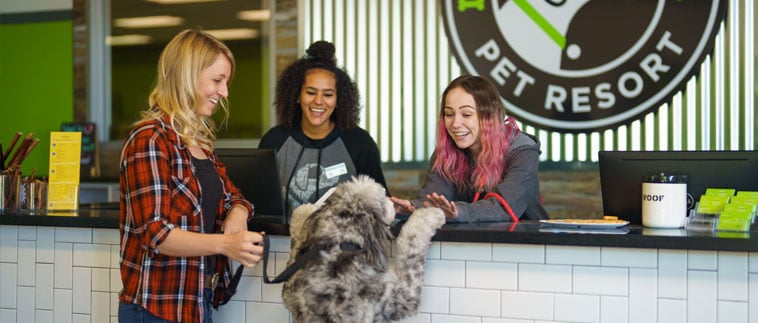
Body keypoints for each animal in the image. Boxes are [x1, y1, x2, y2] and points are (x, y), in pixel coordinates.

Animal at [284, 176, 446, 322]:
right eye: (382, 196)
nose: (390, 198)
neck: (343, 244)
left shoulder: (291, 292)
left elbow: (294, 251)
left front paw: (302, 211)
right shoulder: (398, 300)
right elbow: (411, 244)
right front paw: (431, 213)